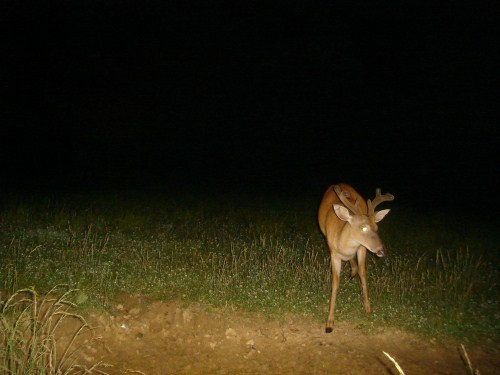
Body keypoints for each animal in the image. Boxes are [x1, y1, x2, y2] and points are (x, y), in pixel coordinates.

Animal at [316, 184, 394, 334]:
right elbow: (335, 283)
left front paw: (368, 308)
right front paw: (329, 323)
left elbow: (363, 274)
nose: (382, 250)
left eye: (376, 227)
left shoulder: (362, 248)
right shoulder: (333, 253)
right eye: (363, 227)